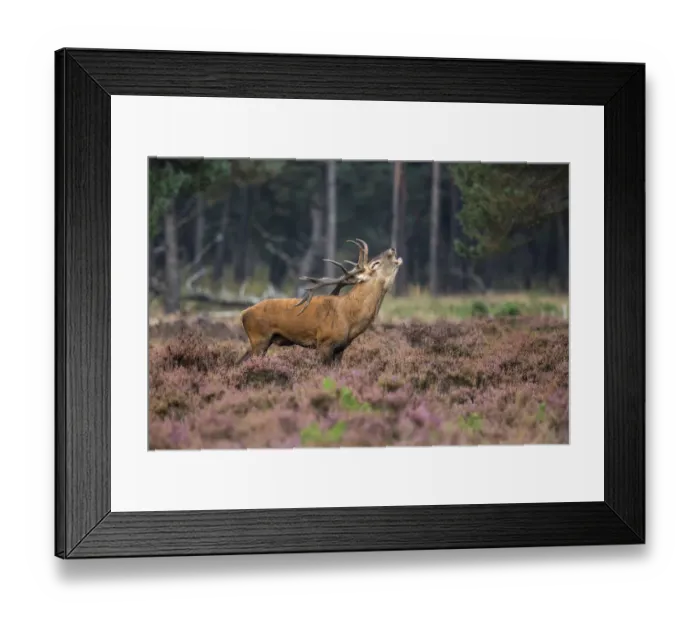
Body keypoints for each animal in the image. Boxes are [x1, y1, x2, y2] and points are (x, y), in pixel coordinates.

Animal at [236, 239, 403, 365]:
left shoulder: (341, 348)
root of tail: (243, 313)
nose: (392, 248)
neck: (350, 318)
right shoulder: (324, 342)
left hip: (259, 342)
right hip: (259, 339)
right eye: (376, 263)